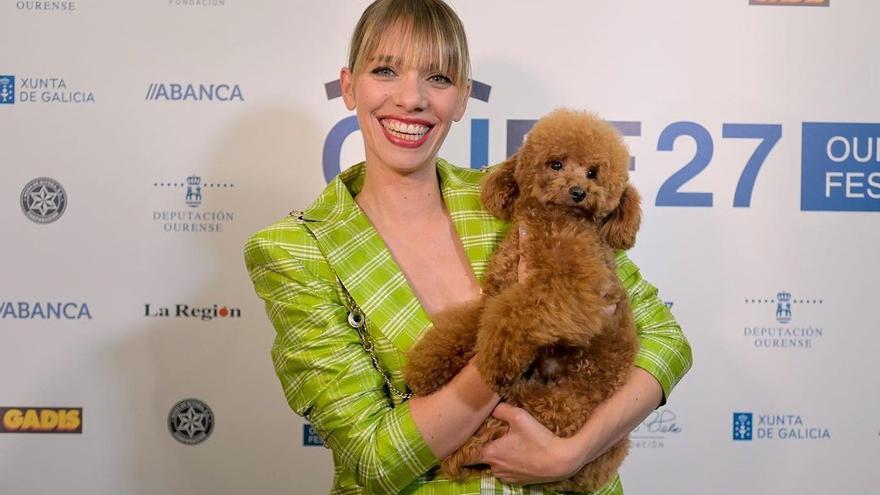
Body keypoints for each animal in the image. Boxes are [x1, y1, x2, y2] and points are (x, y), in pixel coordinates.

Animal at [406, 108, 640, 492]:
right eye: (556, 164)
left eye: (593, 172)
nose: (579, 192)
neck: (552, 221)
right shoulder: (497, 291)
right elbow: (470, 323)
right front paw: (426, 367)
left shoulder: (575, 289)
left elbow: (518, 313)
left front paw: (497, 362)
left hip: (558, 409)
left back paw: (460, 455)